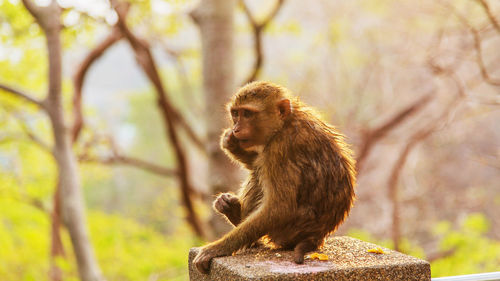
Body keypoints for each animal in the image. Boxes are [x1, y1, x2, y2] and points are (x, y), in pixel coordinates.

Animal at [193, 80, 358, 272]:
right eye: (235, 114)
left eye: (247, 114)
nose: (236, 128)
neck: (285, 124)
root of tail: (317, 236)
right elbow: (255, 163)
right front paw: (230, 143)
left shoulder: (280, 148)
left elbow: (280, 207)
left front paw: (216, 249)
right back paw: (233, 212)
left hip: (289, 230)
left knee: (262, 175)